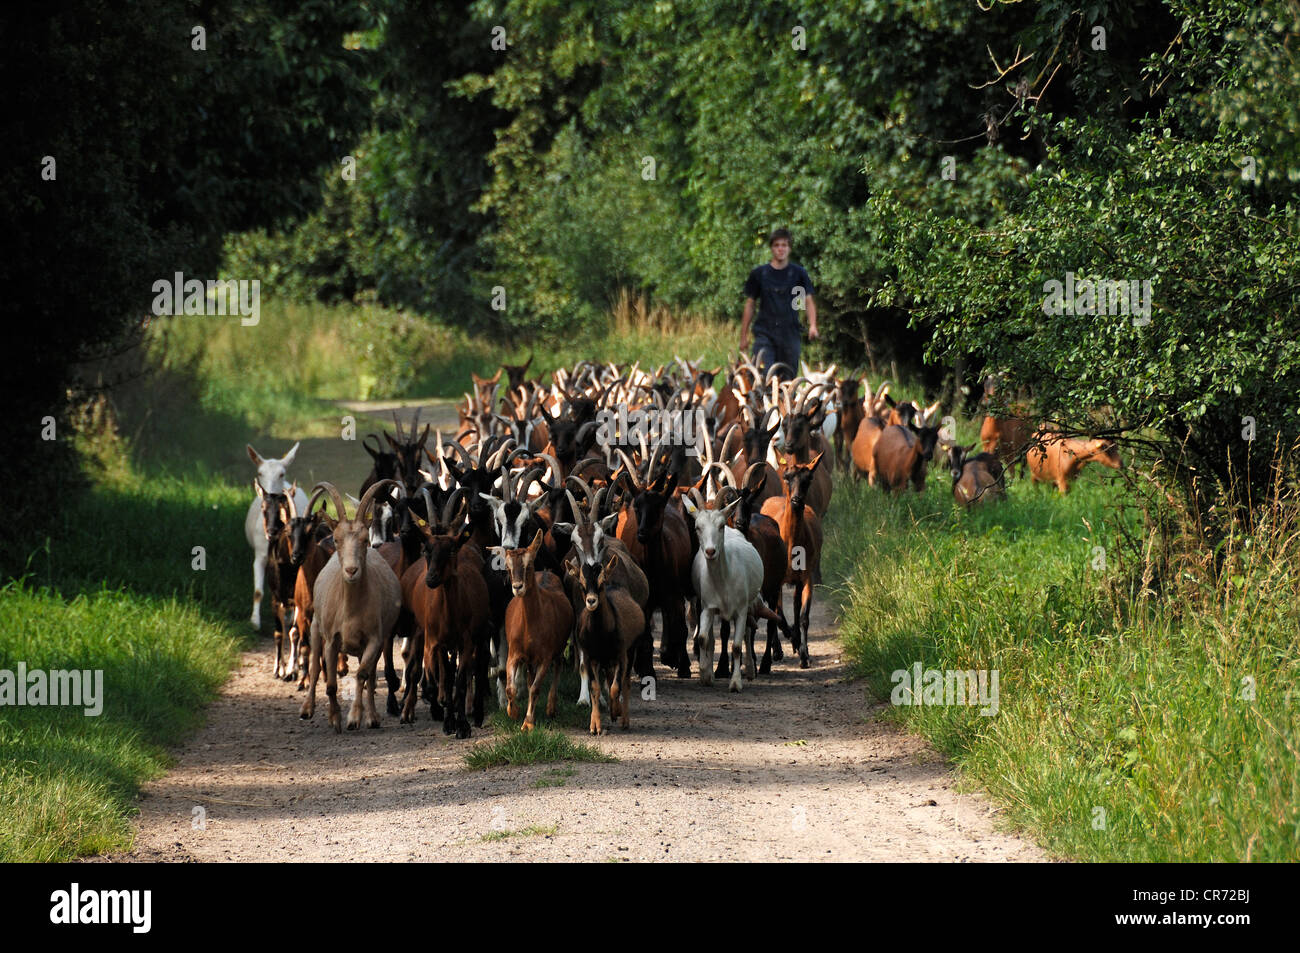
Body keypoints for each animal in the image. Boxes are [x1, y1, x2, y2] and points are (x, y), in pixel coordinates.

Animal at [244, 442, 306, 629]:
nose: (268, 494)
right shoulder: (260, 554)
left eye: (282, 473)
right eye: (260, 473)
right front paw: (254, 622)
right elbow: (258, 591)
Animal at [299, 478, 400, 733]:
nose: (351, 570)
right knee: (315, 669)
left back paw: (372, 716)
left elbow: (363, 675)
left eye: (365, 540)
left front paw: (355, 717)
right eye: (336, 539)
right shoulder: (332, 640)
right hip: (316, 627)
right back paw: (307, 708)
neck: (351, 610)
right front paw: (335, 719)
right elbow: (330, 683)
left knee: (371, 676)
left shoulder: (374, 639)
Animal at [681, 494, 759, 686]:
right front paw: (705, 673)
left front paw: (736, 683)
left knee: (747, 633)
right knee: (709, 637)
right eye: (697, 527)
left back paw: (750, 670)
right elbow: (703, 638)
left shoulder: (740, 610)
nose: (710, 551)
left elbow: (737, 646)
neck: (724, 580)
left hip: (749, 603)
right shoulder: (708, 607)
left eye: (721, 525)